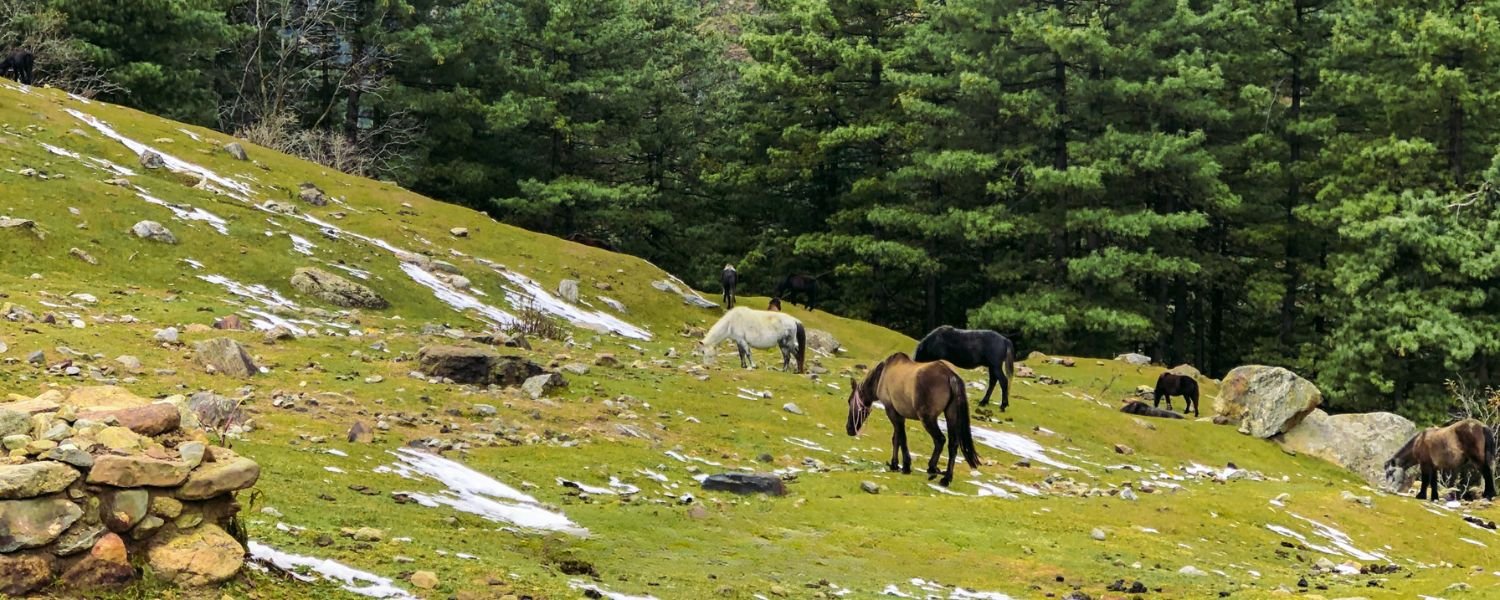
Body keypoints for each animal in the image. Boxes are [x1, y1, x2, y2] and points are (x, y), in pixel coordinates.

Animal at [852, 351, 978, 486]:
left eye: (849, 402)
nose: (850, 430)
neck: (882, 376)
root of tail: (951, 375)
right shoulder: (898, 414)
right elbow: (896, 438)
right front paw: (894, 464)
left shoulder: (891, 410)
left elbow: (902, 438)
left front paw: (905, 466)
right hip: (951, 415)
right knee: (953, 444)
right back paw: (946, 478)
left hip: (927, 418)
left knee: (940, 439)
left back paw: (932, 468)